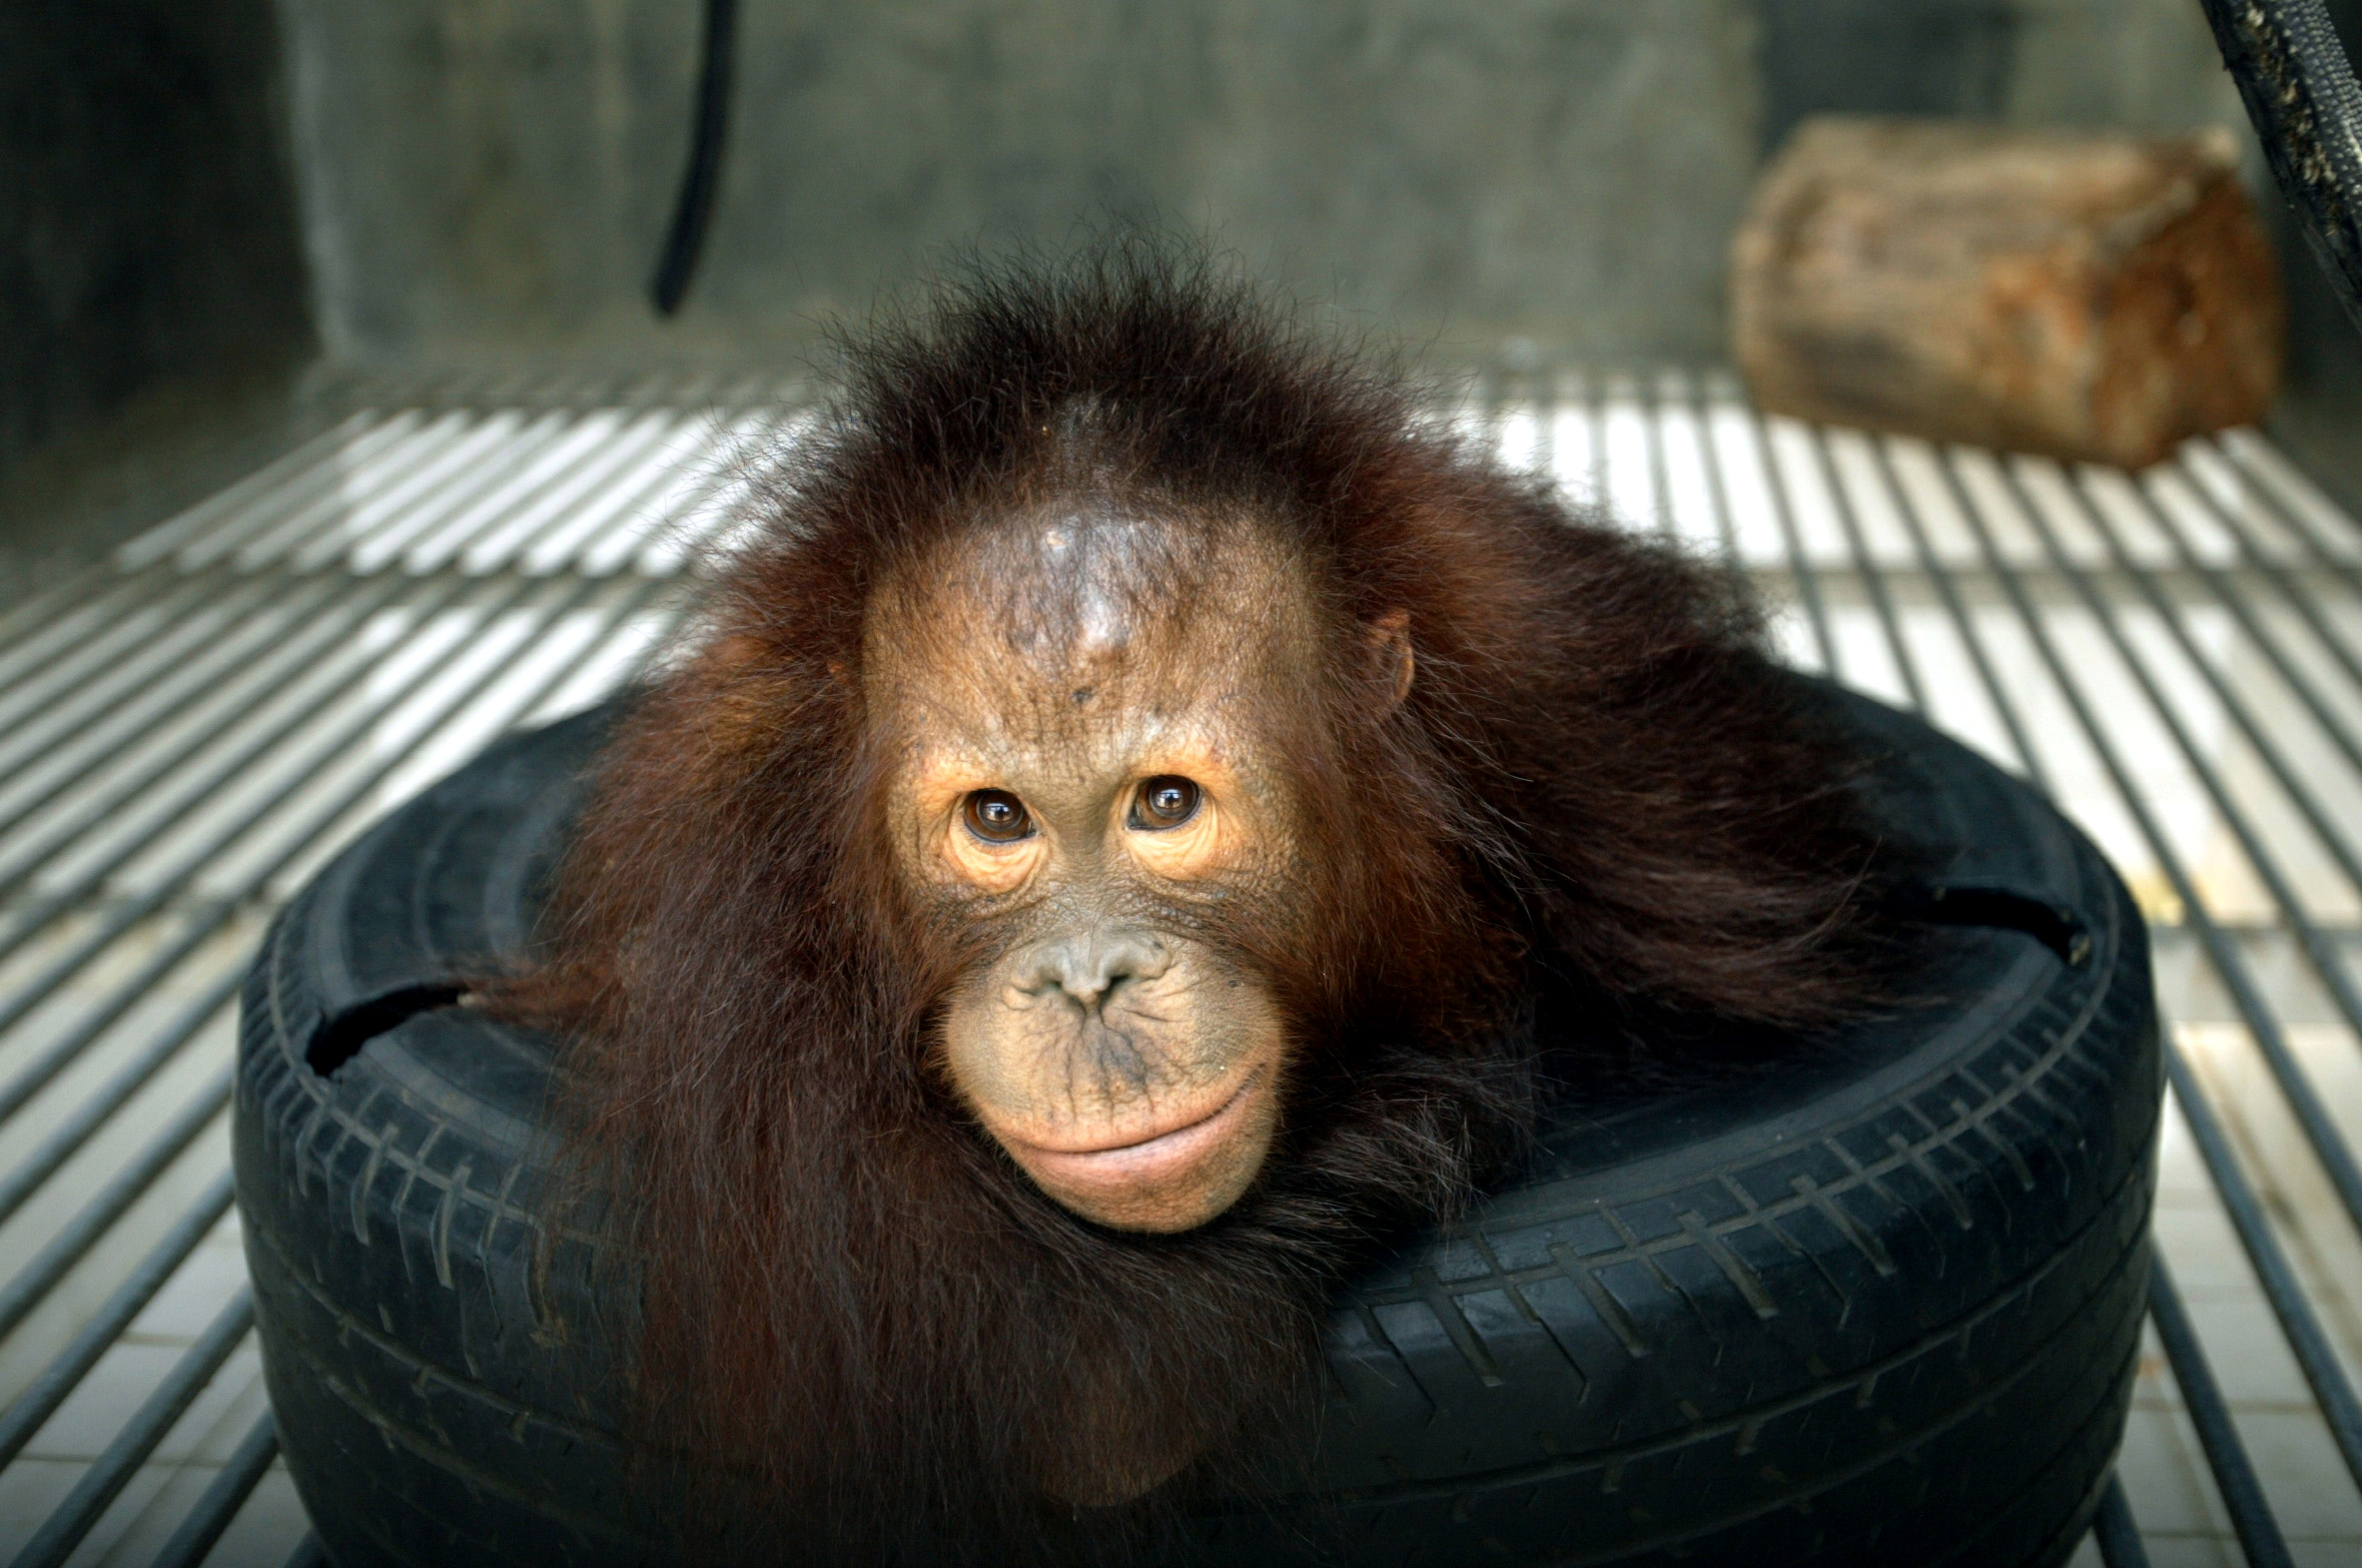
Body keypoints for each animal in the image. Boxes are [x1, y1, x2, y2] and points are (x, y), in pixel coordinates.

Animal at [501, 246, 1907, 1562]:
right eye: (997, 819)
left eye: (1163, 805)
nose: (1087, 982)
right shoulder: (736, 943)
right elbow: (1090, 1398)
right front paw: (1438, 1101)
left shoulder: (1596, 727)